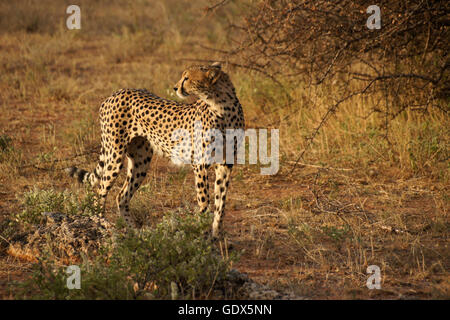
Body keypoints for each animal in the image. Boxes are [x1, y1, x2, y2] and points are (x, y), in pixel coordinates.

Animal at [67, 63, 244, 238]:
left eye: (187, 78)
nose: (175, 88)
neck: (221, 106)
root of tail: (117, 92)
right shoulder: (199, 164)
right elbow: (204, 199)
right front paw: (199, 229)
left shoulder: (225, 164)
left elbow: (221, 201)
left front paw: (216, 235)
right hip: (114, 156)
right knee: (100, 192)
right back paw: (101, 224)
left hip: (141, 161)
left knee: (121, 196)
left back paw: (136, 233)